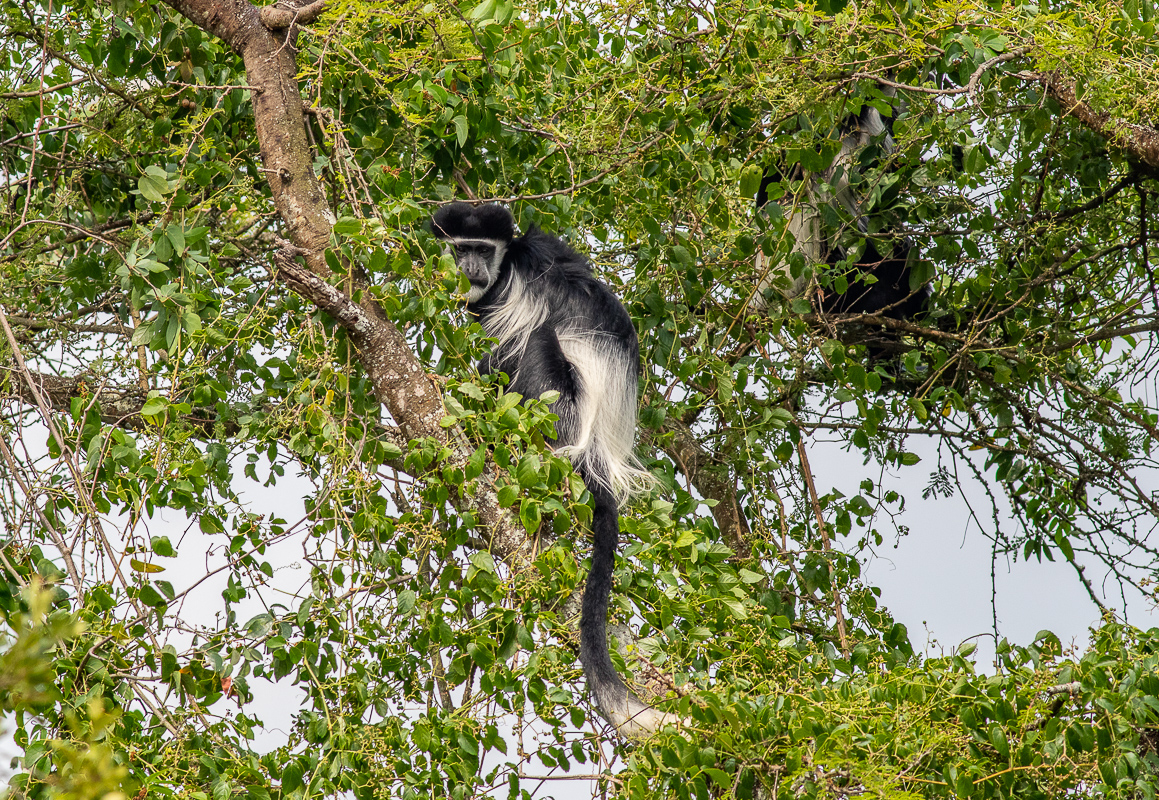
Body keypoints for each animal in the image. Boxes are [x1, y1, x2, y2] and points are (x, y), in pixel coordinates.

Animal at [433, 200, 672, 737]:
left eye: (482, 250)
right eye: (461, 249)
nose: (470, 269)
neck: (509, 261)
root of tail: (599, 453)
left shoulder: (512, 290)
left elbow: (500, 343)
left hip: (560, 405)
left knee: (534, 344)